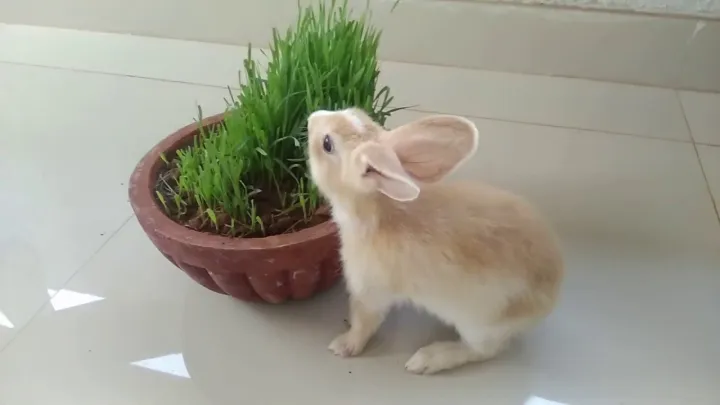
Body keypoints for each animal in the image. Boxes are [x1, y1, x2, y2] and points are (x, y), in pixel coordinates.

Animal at [306, 108, 564, 375]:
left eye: (327, 144)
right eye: (352, 111)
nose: (312, 117)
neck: (378, 210)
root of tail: (553, 293)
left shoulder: (369, 291)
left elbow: (363, 323)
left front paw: (343, 346)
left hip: (480, 324)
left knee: (482, 351)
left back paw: (427, 359)